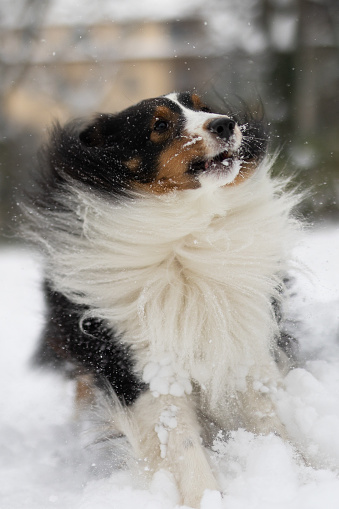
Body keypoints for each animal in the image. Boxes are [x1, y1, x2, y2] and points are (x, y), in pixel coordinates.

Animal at [25, 90, 300, 504]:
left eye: (203, 106)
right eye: (159, 126)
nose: (225, 124)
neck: (185, 232)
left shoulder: (242, 340)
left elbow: (268, 419)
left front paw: (299, 473)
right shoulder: (146, 366)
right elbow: (181, 446)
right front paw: (207, 498)